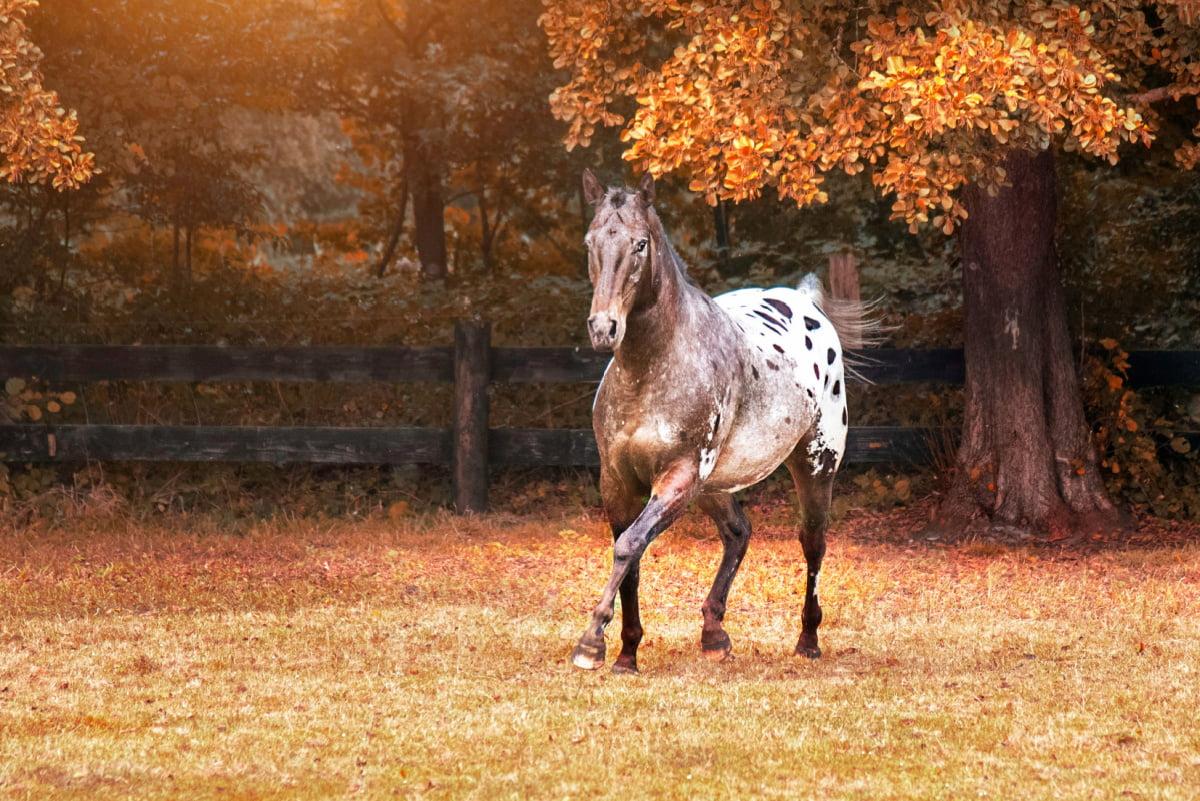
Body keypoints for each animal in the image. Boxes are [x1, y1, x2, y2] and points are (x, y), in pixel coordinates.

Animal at [571, 169, 876, 674]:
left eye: (640, 244)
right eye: (590, 240)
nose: (603, 328)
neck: (649, 372)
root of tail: (805, 301)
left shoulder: (677, 477)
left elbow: (629, 546)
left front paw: (591, 643)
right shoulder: (617, 482)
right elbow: (630, 556)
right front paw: (627, 653)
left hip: (814, 466)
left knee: (813, 542)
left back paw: (808, 641)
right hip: (714, 484)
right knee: (738, 533)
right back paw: (714, 634)